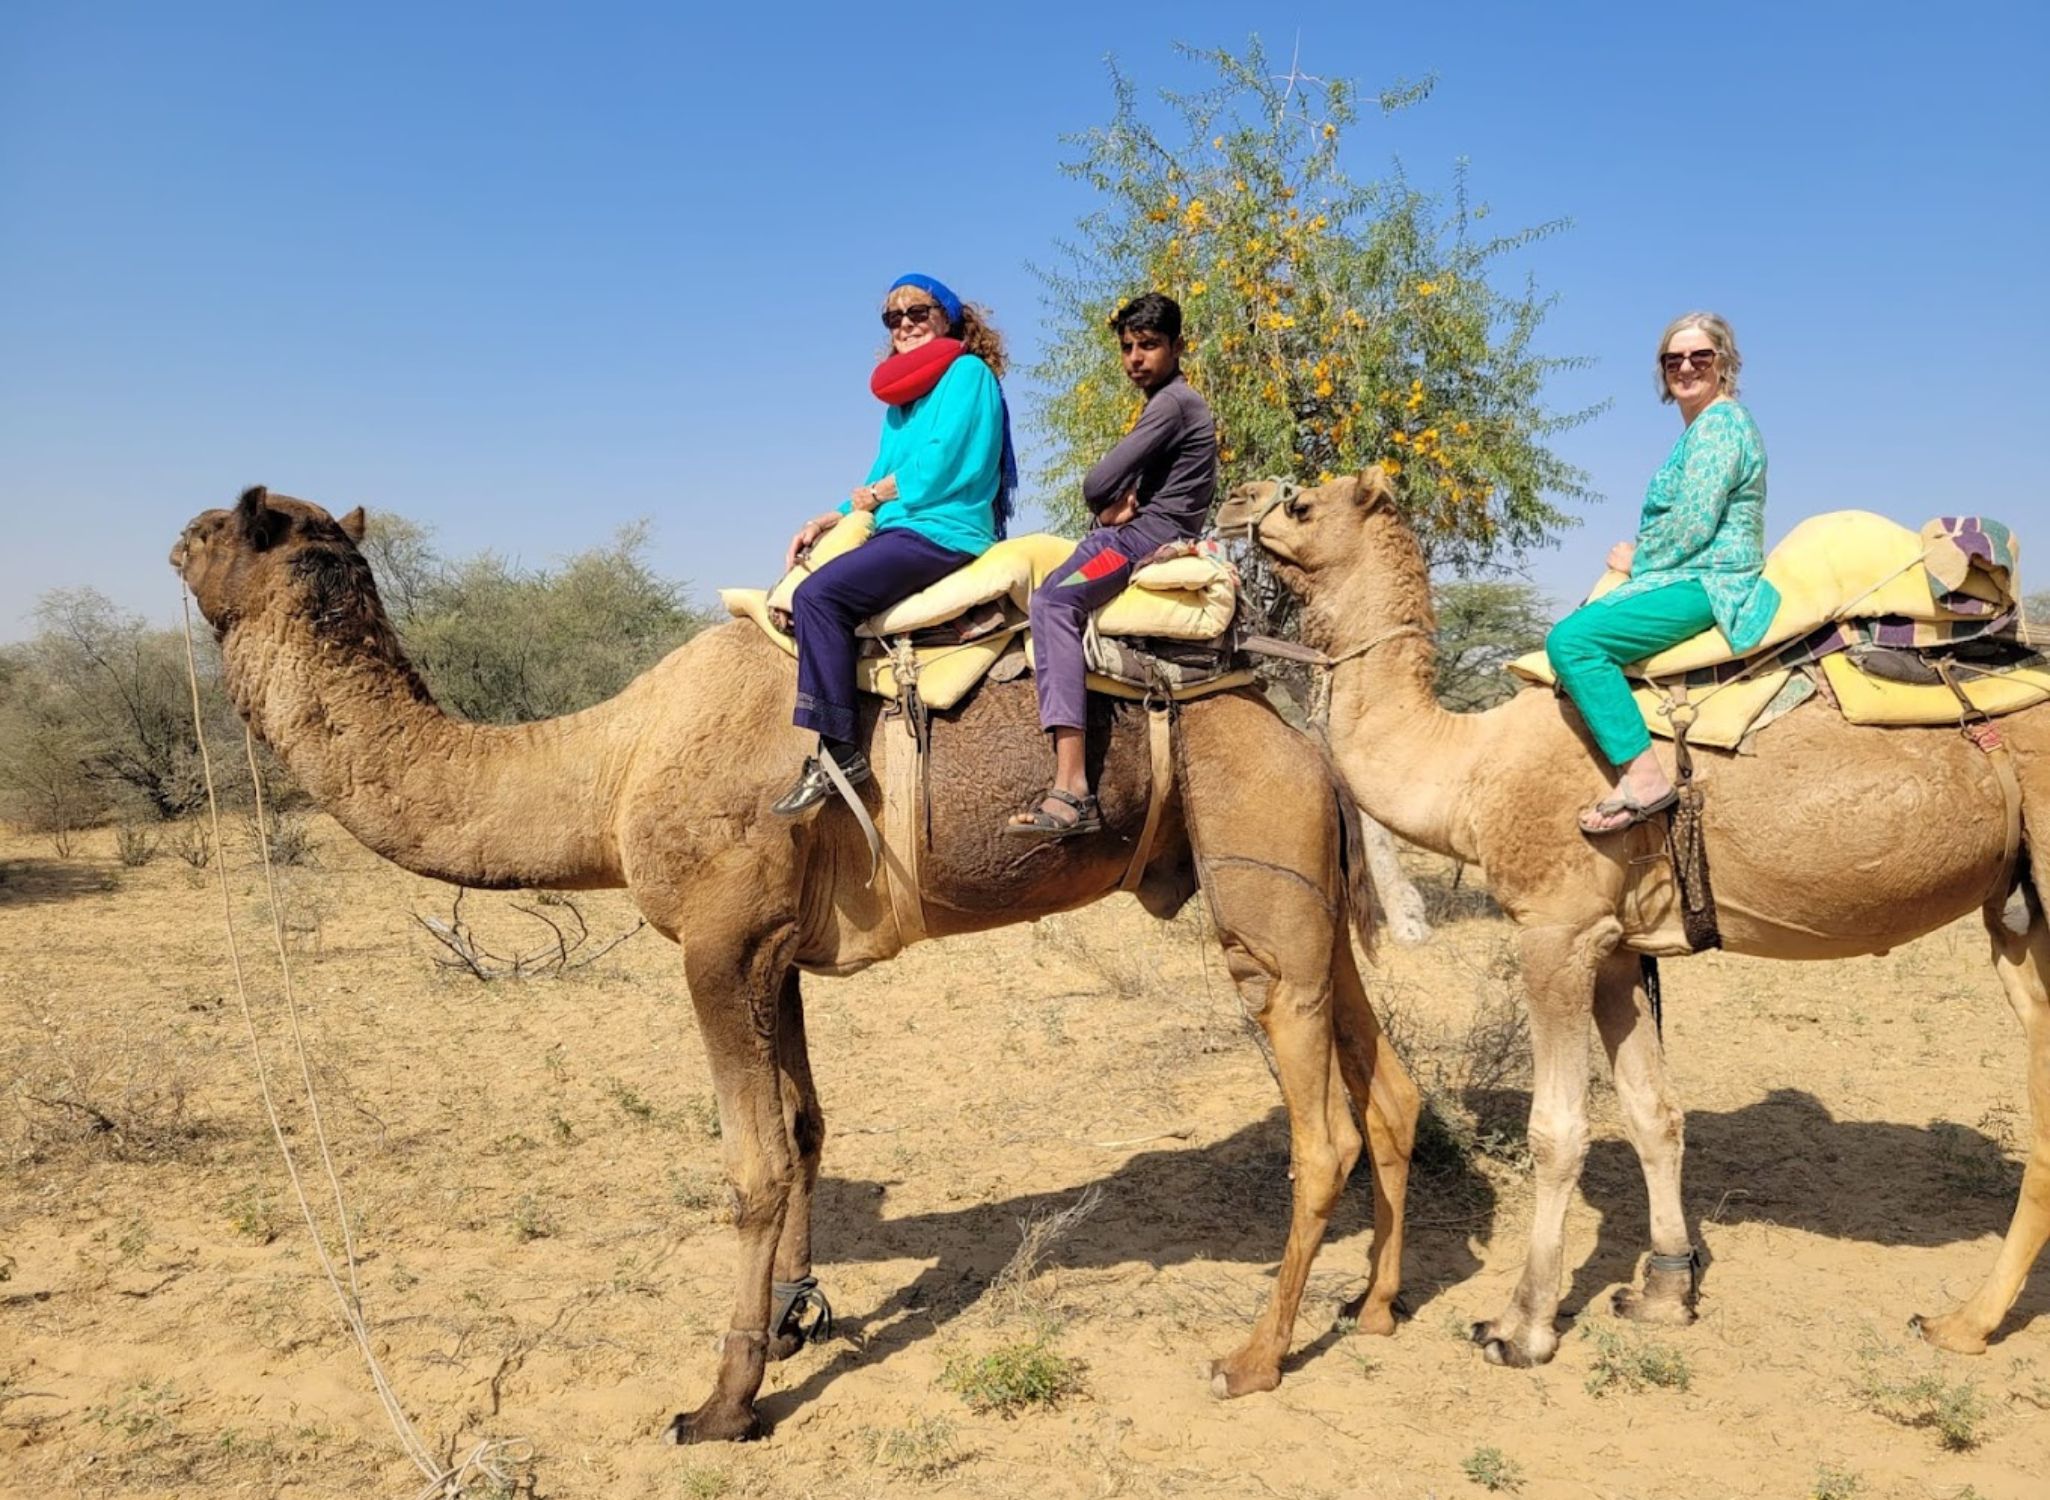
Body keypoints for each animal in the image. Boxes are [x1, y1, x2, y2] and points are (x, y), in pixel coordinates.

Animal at [168, 489, 1426, 1442]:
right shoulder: (772, 950)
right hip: (1305, 881)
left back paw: (1251, 1359)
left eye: (234, 524)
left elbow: (752, 1166)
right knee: (1389, 1083)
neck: (612, 763)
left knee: (1320, 1122)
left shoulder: (717, 941)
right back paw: (1373, 1308)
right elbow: (808, 1128)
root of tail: (1292, 728)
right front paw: (792, 1314)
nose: (175, 538)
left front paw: (723, 1401)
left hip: (1255, 872)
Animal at [1213, 469, 2050, 1368]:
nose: (1234, 500)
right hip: (2016, 918)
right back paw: (1966, 1320)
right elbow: (1654, 1115)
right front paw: (1663, 1292)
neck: (1470, 768)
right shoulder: (1615, 946)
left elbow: (1558, 1129)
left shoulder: (1555, 930)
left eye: (1303, 502)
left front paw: (1520, 1326)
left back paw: (1963, 1322)